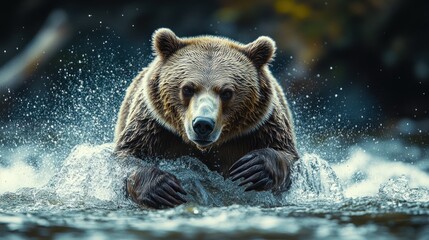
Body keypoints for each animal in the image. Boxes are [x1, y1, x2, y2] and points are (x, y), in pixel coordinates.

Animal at [113, 27, 298, 208]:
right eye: (187, 88)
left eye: (227, 92)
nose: (203, 124)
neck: (205, 148)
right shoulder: (155, 127)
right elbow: (129, 156)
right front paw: (163, 188)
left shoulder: (260, 129)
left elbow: (287, 156)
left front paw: (253, 168)